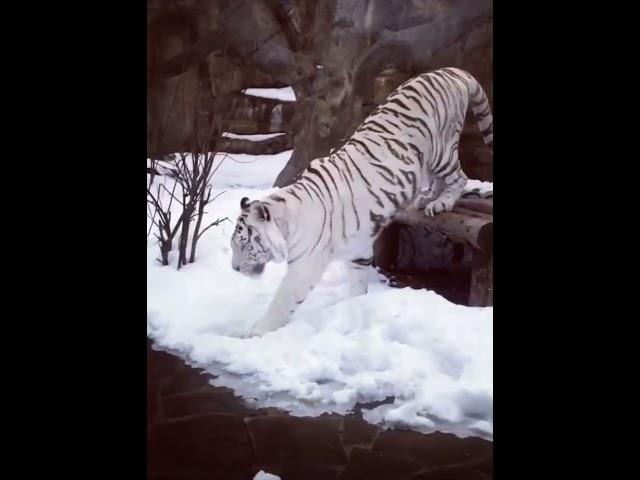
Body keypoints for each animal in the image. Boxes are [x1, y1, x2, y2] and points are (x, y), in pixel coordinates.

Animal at [232, 66, 492, 338]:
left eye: (244, 244)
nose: (235, 269)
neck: (289, 222)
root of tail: (449, 71)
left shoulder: (305, 266)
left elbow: (281, 302)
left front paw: (253, 332)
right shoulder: (356, 250)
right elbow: (357, 285)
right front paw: (351, 307)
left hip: (441, 149)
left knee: (459, 177)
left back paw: (440, 203)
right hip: (428, 160)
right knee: (440, 180)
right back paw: (427, 199)